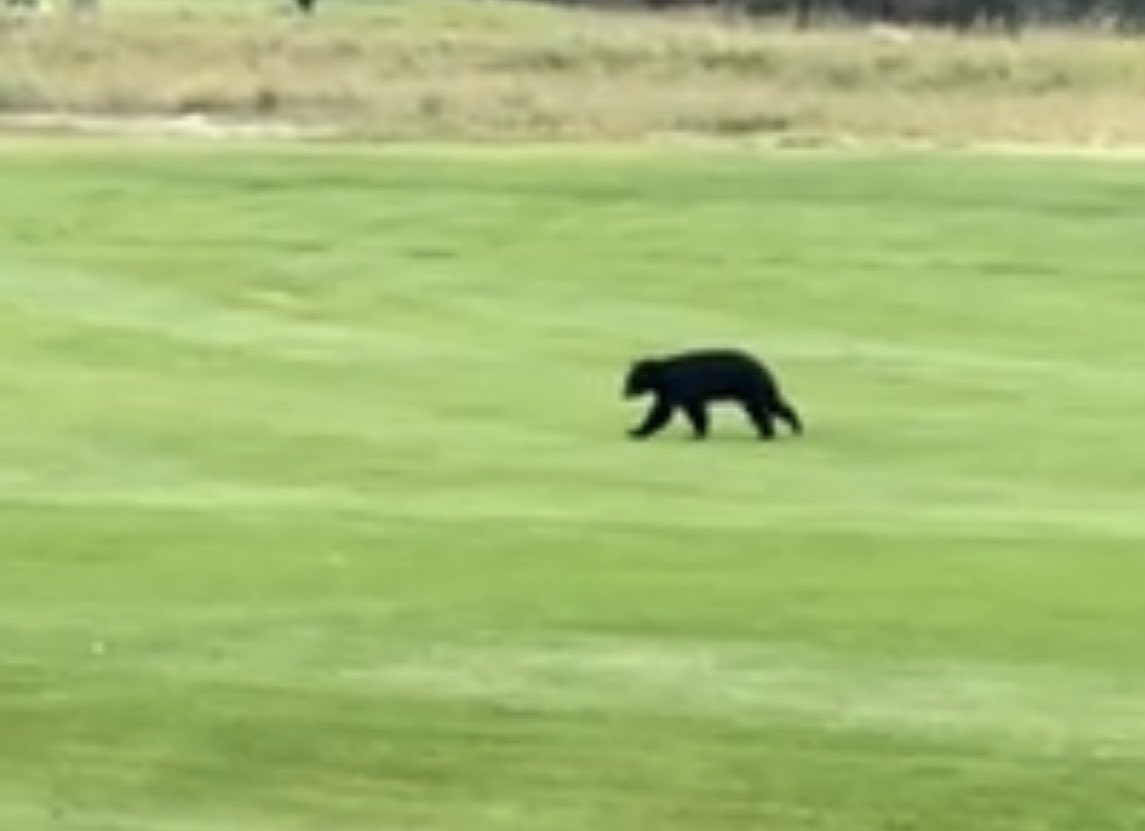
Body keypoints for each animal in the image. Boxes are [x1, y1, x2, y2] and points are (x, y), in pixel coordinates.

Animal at [623, 347, 803, 441]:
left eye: (631, 380)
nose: (623, 393)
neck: (663, 376)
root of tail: (765, 368)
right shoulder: (686, 394)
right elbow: (696, 412)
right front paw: (699, 433)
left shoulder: (678, 387)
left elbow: (661, 412)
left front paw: (636, 431)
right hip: (760, 389)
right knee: (775, 404)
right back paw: (795, 427)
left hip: (750, 388)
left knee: (759, 410)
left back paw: (767, 434)